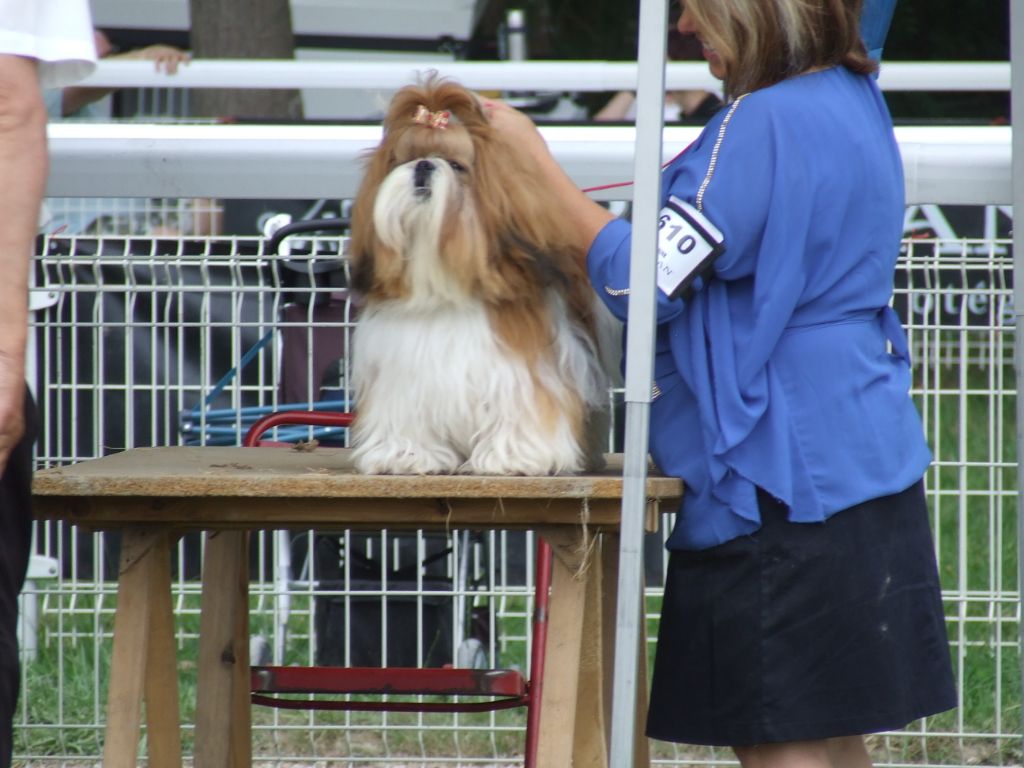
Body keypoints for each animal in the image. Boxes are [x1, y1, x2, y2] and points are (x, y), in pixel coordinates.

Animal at [348, 78, 610, 475]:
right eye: (404, 159)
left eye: (457, 165)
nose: (423, 165)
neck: (443, 283)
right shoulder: (403, 373)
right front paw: (406, 455)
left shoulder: (518, 370)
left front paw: (515, 457)